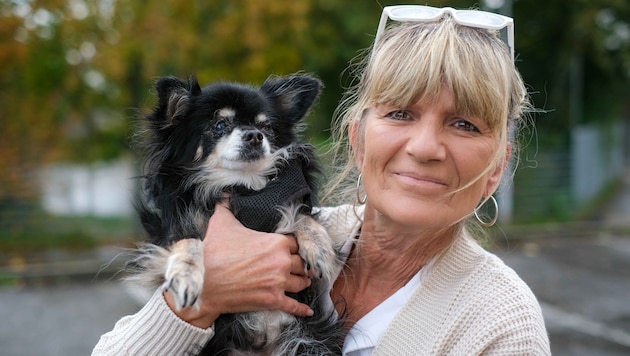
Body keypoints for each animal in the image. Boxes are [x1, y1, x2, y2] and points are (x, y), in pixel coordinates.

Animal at [130, 73, 344, 354]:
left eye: (266, 127)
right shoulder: (170, 232)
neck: (240, 187)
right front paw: (185, 275)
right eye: (219, 125)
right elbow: (189, 241)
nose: (255, 135)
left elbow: (302, 216)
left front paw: (319, 247)